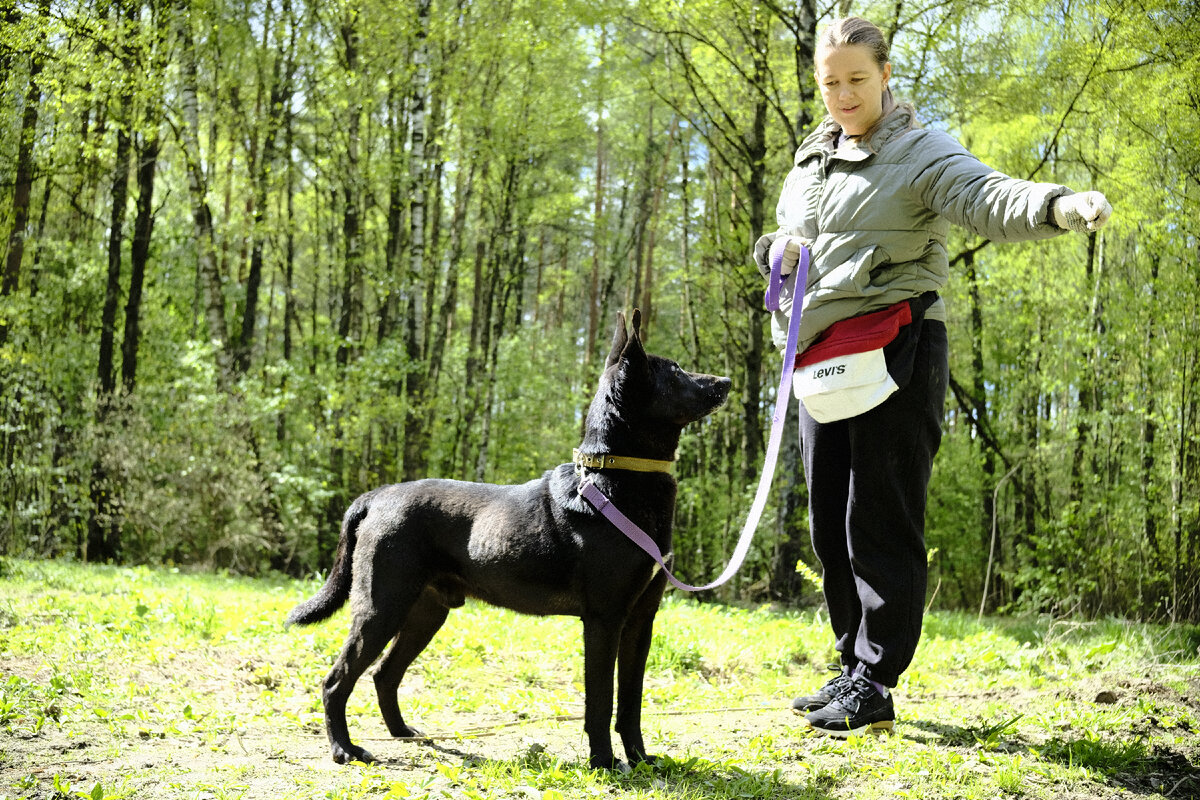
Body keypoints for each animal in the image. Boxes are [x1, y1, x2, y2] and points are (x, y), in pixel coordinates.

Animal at [288, 311, 729, 767]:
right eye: (675, 371)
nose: (727, 382)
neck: (612, 479)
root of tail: (375, 497)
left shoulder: (642, 619)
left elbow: (631, 699)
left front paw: (640, 759)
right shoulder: (605, 619)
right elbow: (601, 699)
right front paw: (604, 763)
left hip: (425, 612)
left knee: (383, 674)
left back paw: (404, 733)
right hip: (381, 609)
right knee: (335, 680)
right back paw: (344, 748)